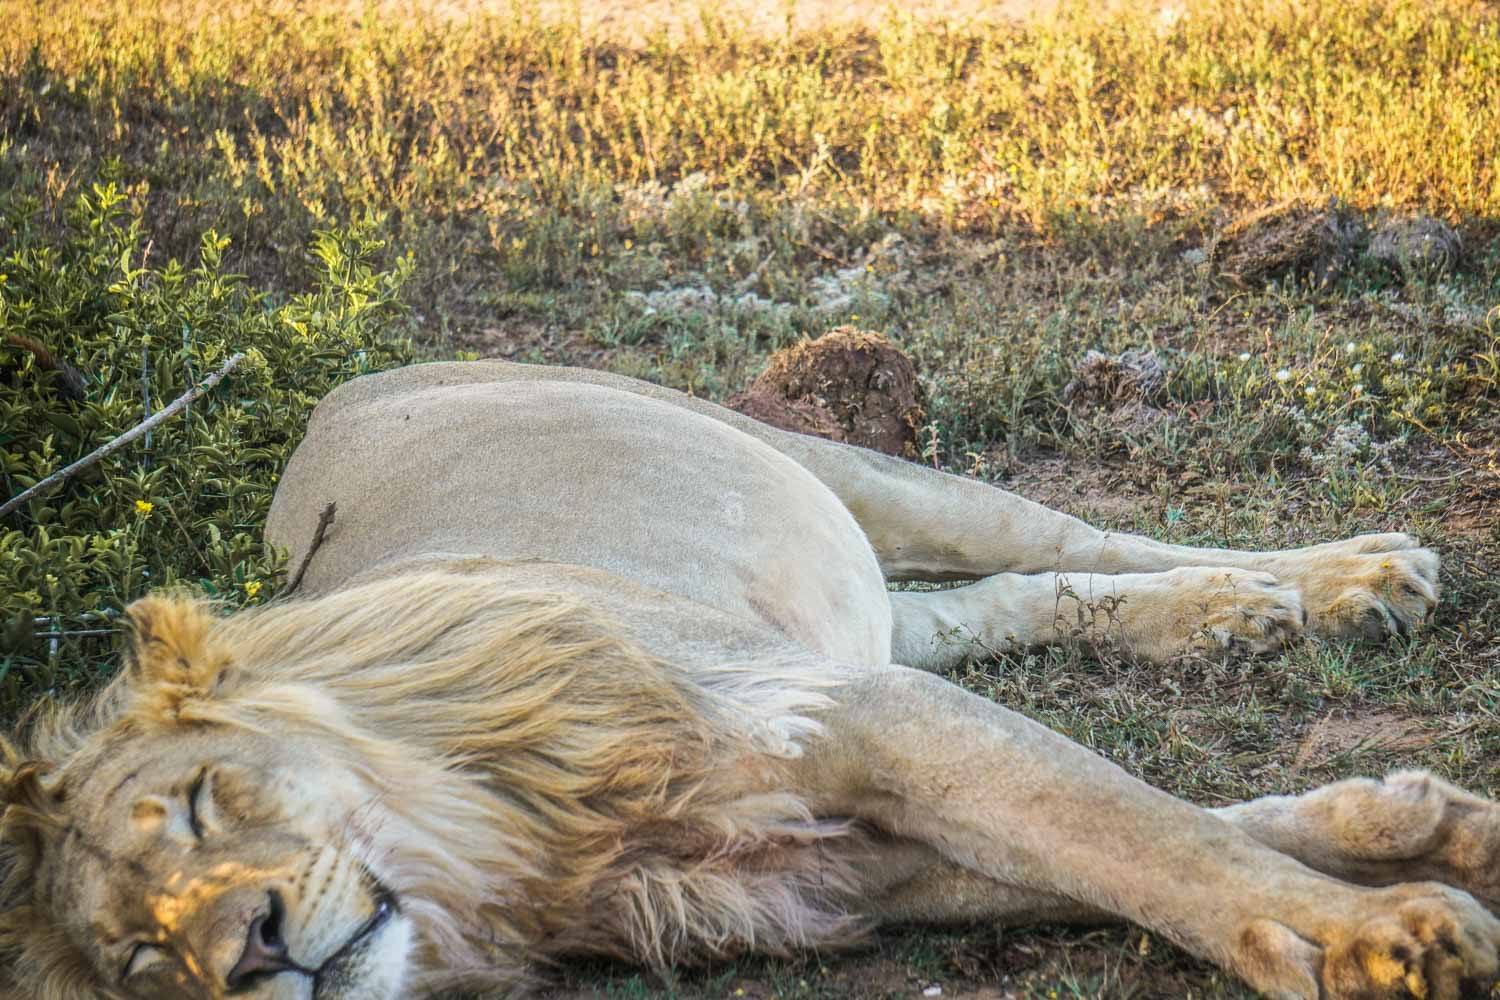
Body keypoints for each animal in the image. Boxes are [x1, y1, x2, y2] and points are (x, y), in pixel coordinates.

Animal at [2, 361, 1500, 1000]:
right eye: (142, 957)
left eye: (206, 802)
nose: (247, 954)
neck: (505, 851)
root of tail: (335, 395)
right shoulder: (842, 873)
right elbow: (1145, 853)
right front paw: (1410, 841)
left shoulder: (849, 713)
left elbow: (1152, 840)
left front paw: (1387, 932)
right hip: (851, 605)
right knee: (996, 603)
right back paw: (1242, 619)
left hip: (836, 467)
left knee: (1078, 539)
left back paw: (1345, 584)